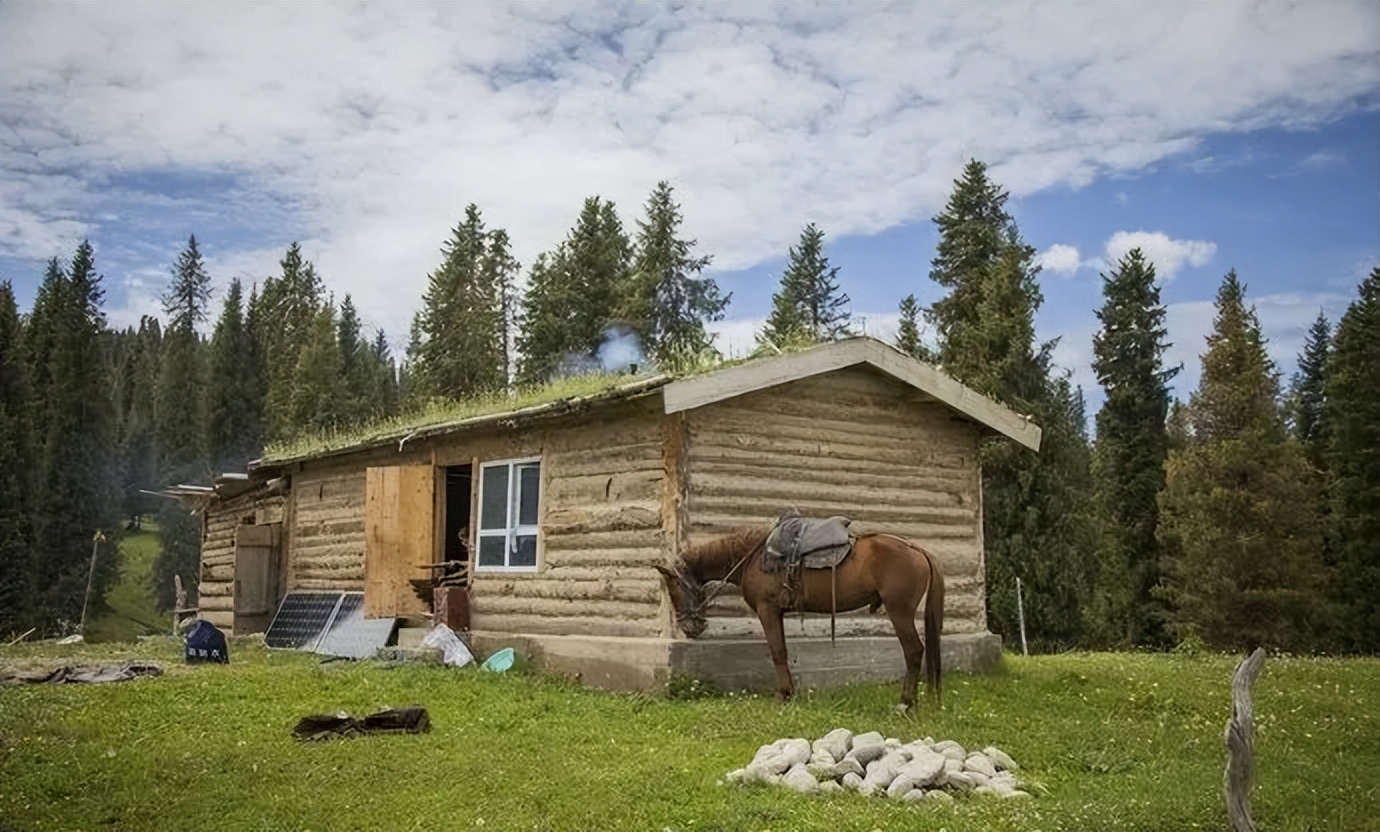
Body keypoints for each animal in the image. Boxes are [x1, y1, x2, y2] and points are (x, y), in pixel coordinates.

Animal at [654, 527, 938, 711]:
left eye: (673, 588)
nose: (690, 626)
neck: (753, 558)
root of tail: (917, 550)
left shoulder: (767, 610)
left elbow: (778, 652)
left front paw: (784, 695)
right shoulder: (776, 612)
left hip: (899, 612)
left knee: (914, 651)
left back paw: (905, 703)